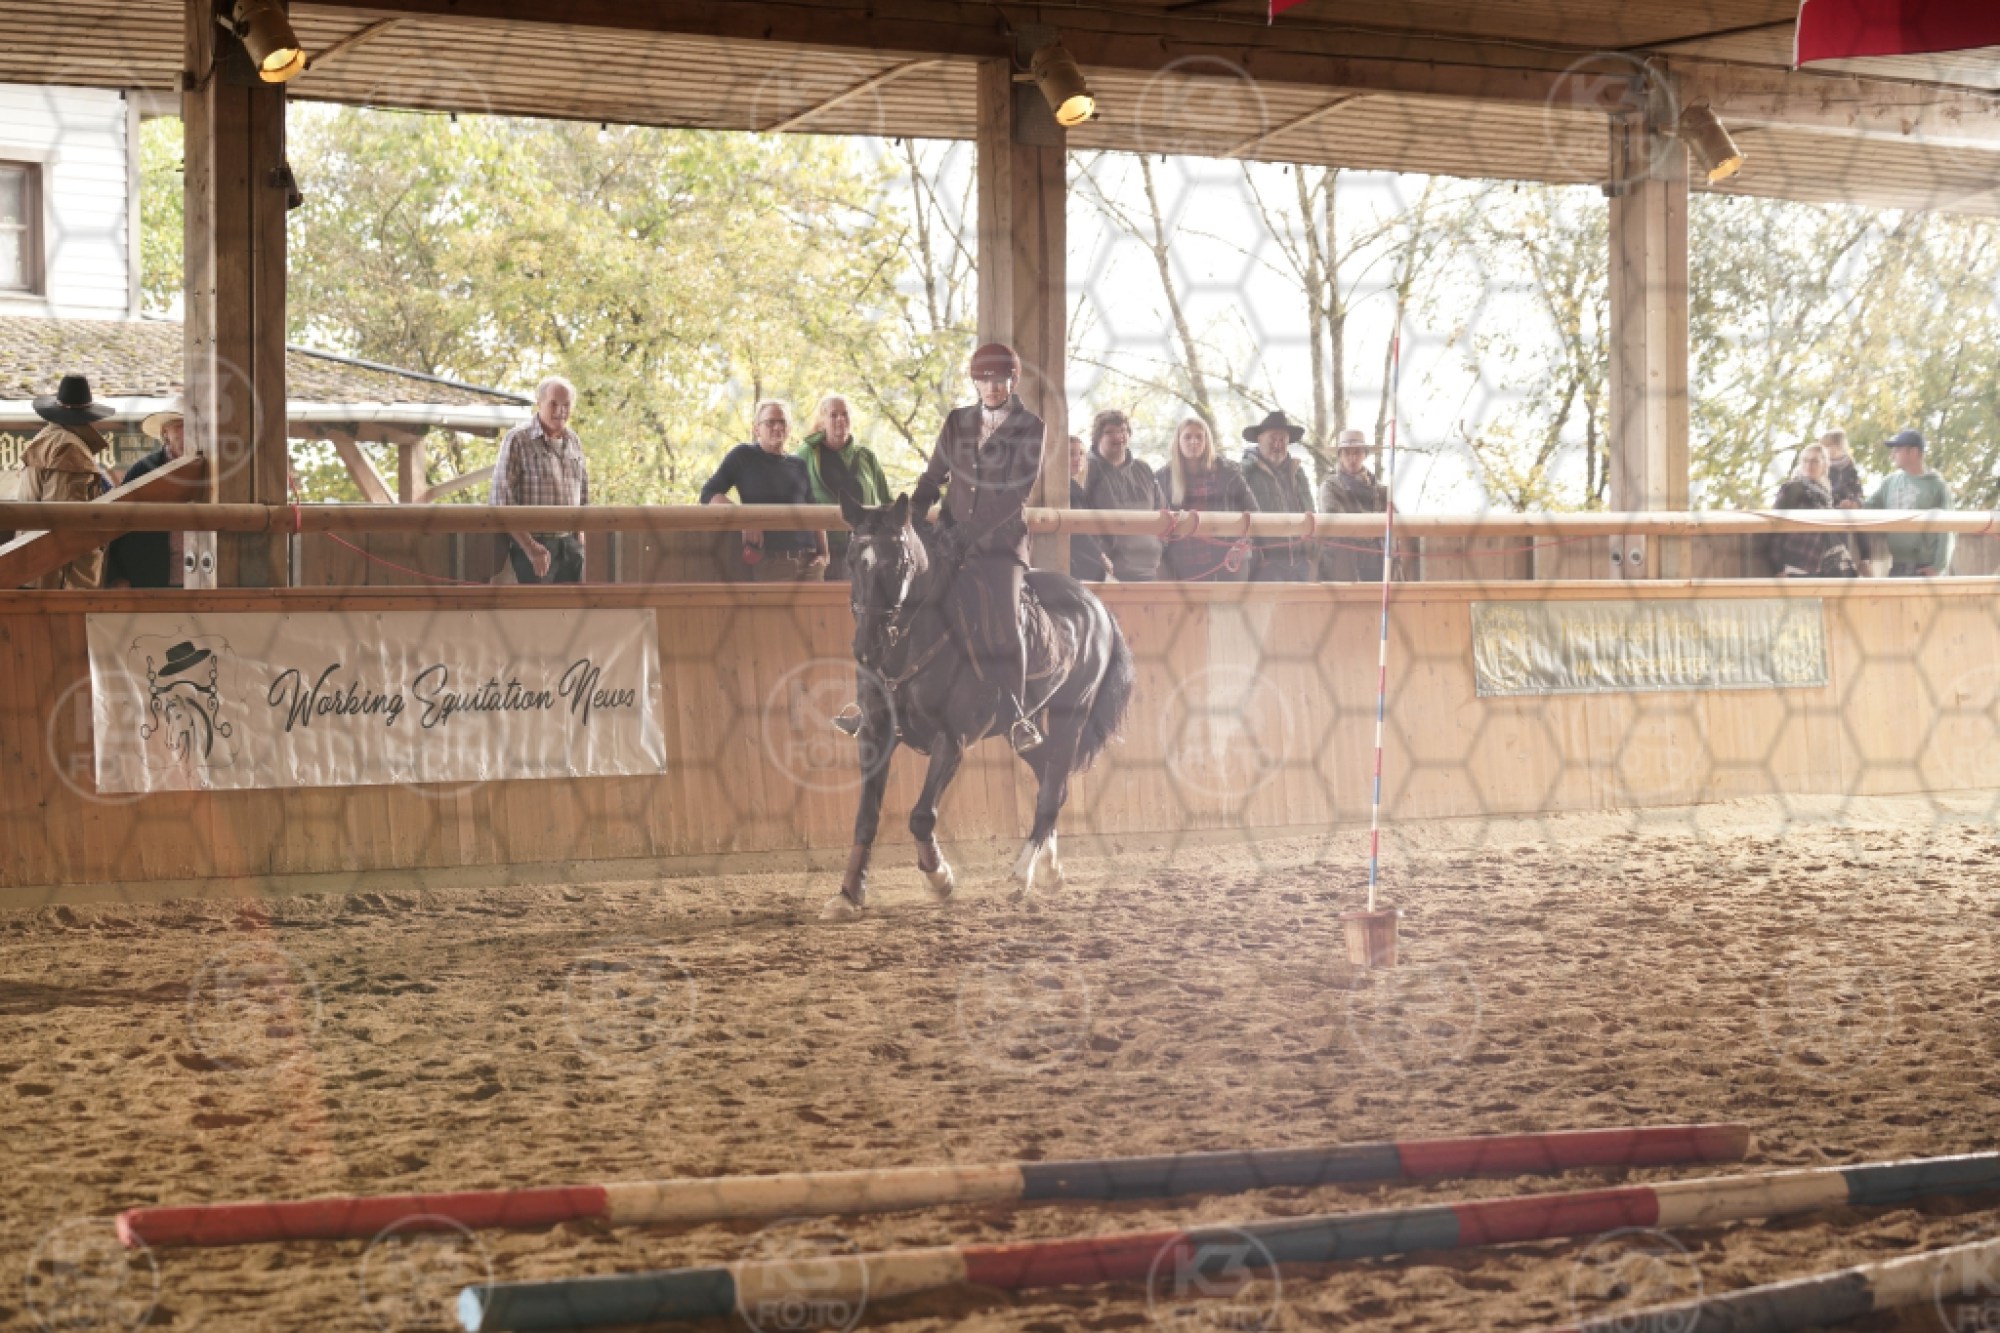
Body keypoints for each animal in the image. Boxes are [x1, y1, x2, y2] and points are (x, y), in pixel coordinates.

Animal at [823, 492, 1135, 921]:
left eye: (898, 561)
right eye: (853, 559)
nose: (867, 647)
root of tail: (1096, 605)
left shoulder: (951, 740)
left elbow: (921, 816)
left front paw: (939, 878)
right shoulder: (874, 735)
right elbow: (866, 818)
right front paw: (849, 893)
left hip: (1071, 715)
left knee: (1052, 791)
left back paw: (1021, 875)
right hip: (1020, 730)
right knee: (1051, 779)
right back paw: (1050, 870)